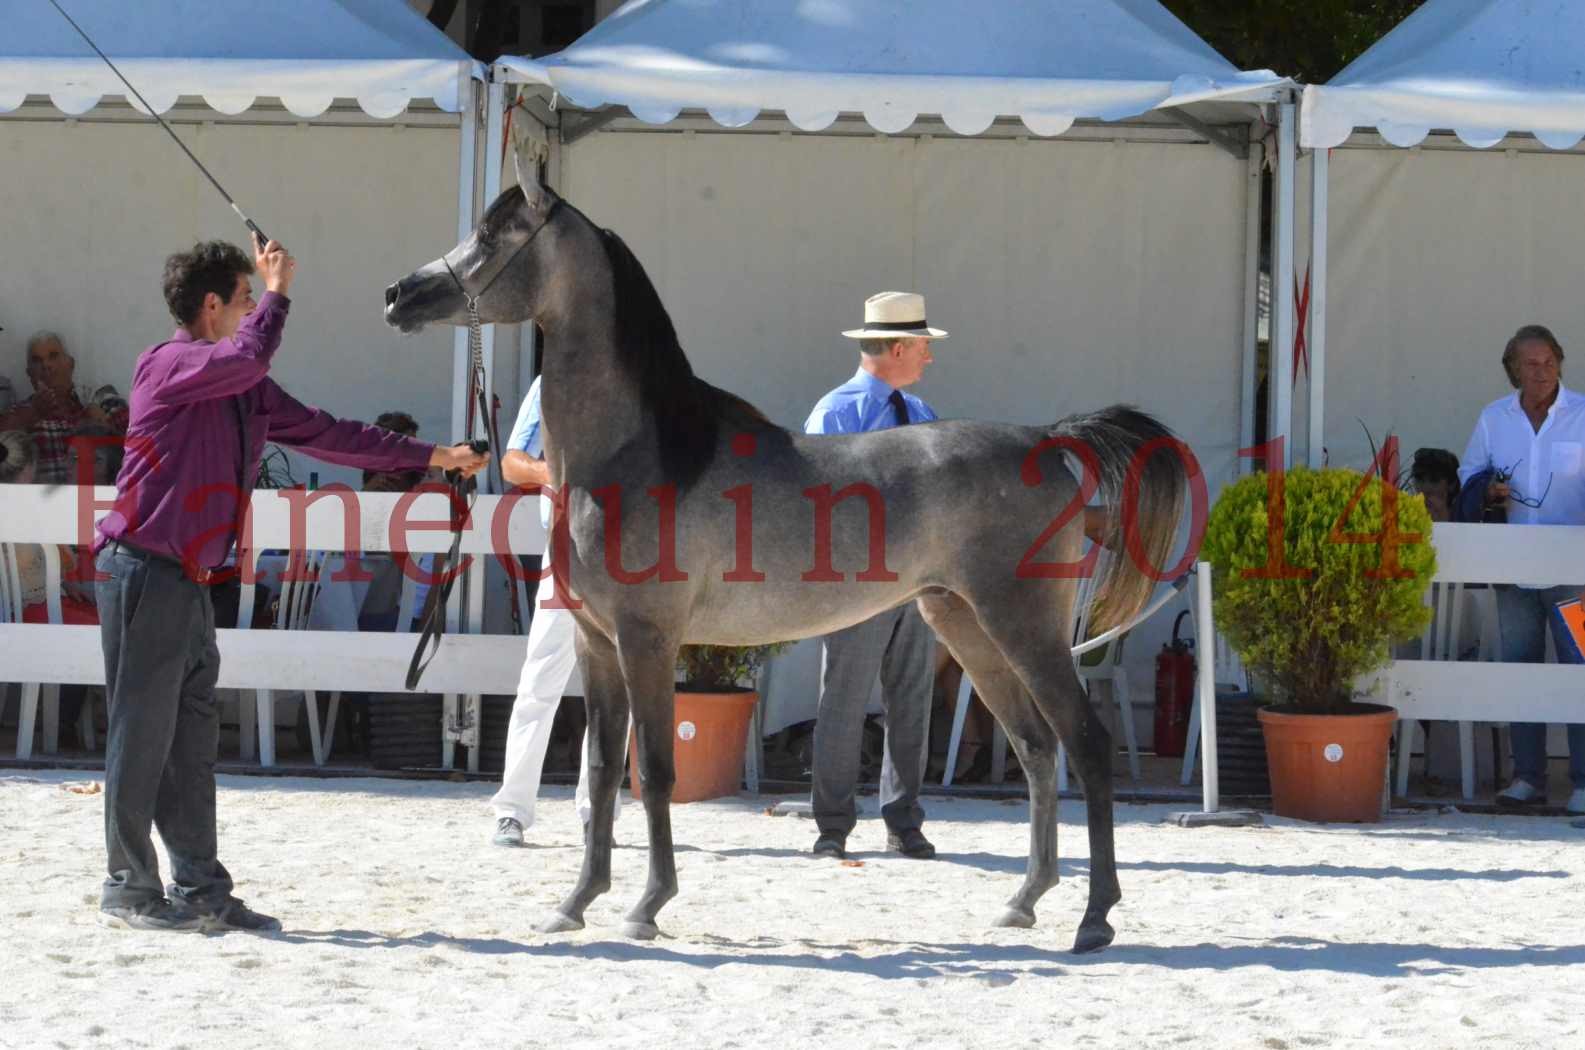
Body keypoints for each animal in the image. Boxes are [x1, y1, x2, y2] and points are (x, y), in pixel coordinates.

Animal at [386, 174, 1191, 951]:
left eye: (496, 235)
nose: (399, 295)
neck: (636, 456)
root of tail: (1049, 441)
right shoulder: (595, 644)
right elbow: (602, 771)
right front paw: (576, 904)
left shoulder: (647, 641)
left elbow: (654, 771)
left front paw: (647, 907)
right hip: (964, 624)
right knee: (1034, 748)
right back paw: (1023, 902)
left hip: (1020, 625)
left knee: (1085, 744)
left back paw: (1095, 919)